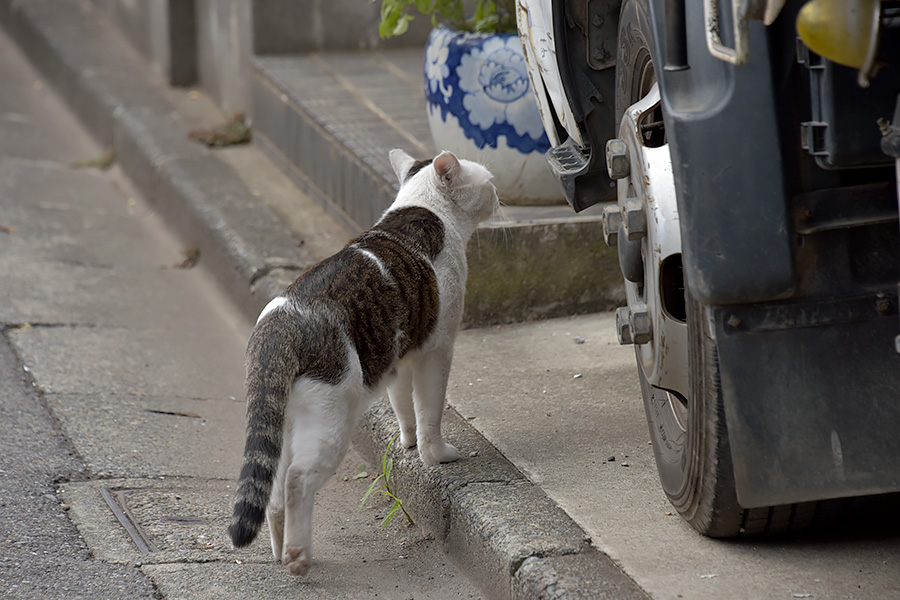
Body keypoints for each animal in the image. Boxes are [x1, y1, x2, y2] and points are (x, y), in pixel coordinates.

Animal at [229, 148, 500, 576]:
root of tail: (279, 327)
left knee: (272, 490)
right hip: (330, 419)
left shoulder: (400, 354)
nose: (499, 194)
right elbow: (430, 411)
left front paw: (407, 443)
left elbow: (404, 407)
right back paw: (298, 558)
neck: (423, 209)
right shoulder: (437, 350)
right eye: (487, 181)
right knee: (296, 480)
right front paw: (434, 455)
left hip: (281, 422)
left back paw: (279, 549)